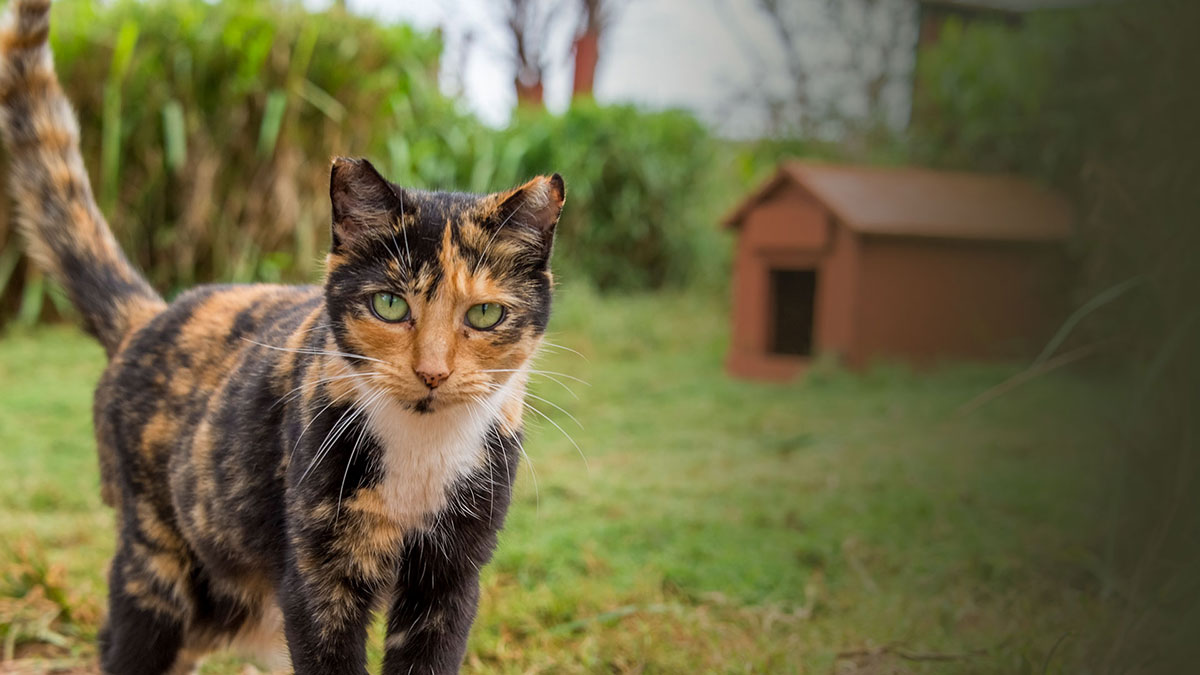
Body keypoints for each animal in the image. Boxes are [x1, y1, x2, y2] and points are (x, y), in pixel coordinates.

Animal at [0, 2, 561, 667]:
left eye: (484, 315)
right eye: (389, 304)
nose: (432, 371)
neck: (422, 451)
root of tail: (149, 315)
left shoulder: (450, 577)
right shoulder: (316, 576)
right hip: (158, 560)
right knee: (127, 635)